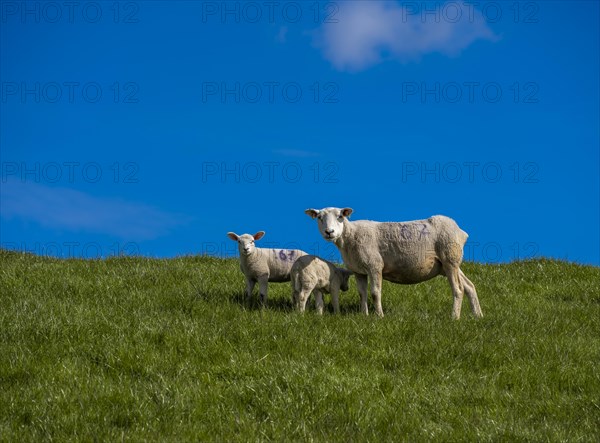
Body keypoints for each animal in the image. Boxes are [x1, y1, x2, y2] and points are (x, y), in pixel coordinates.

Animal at [304, 208, 482, 320]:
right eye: (319, 217)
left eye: (340, 216)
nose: (329, 232)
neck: (350, 236)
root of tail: (460, 231)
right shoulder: (359, 271)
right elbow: (362, 293)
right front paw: (364, 315)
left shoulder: (374, 265)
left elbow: (375, 293)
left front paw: (379, 316)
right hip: (447, 264)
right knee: (469, 286)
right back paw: (478, 316)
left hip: (449, 257)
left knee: (458, 289)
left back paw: (454, 317)